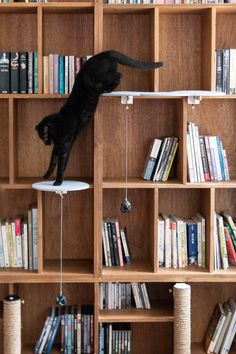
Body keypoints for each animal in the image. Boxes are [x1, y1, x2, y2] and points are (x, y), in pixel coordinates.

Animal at [36, 51, 163, 188]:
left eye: (44, 136)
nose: (46, 143)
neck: (59, 125)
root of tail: (104, 53)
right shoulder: (57, 146)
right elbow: (52, 162)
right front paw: (46, 175)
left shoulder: (65, 145)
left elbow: (61, 165)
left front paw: (58, 182)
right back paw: (109, 89)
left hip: (94, 78)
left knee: (118, 75)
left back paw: (109, 89)